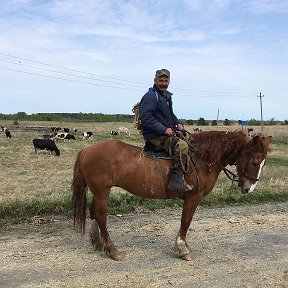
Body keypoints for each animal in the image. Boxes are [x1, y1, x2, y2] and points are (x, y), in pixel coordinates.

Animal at [71, 130, 272, 260]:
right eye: (255, 161)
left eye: (263, 163)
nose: (249, 188)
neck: (202, 159)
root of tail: (87, 150)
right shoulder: (193, 197)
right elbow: (186, 222)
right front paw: (182, 249)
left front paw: (184, 246)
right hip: (102, 191)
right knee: (100, 216)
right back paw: (112, 250)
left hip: (98, 192)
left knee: (93, 212)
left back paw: (98, 243)